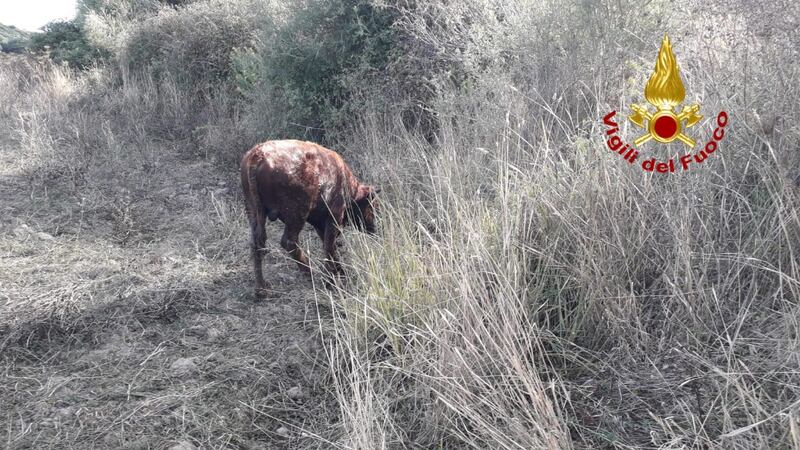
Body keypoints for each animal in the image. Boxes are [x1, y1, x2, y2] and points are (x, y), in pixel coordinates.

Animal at [240, 139, 379, 295]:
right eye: (371, 206)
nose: (374, 228)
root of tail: (257, 155)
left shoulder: (320, 223)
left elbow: (328, 244)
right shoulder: (334, 216)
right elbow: (329, 246)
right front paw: (333, 279)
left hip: (254, 212)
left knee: (257, 245)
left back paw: (262, 289)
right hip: (297, 214)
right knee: (289, 241)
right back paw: (310, 272)